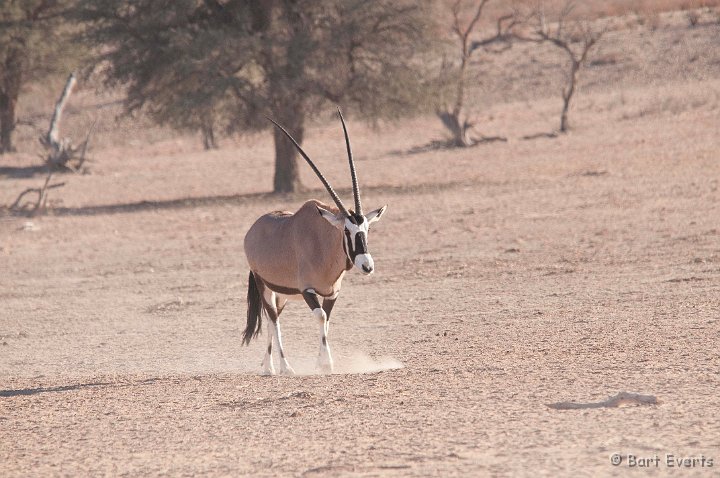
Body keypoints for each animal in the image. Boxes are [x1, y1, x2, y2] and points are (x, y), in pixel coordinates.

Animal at [243, 110, 388, 376]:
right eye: (346, 230)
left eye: (367, 229)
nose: (367, 266)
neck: (322, 244)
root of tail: (253, 230)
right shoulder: (307, 289)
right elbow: (320, 317)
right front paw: (326, 363)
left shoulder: (332, 292)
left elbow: (326, 321)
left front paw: (321, 362)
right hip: (264, 285)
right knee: (273, 320)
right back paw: (283, 367)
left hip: (281, 294)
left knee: (270, 321)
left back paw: (268, 366)